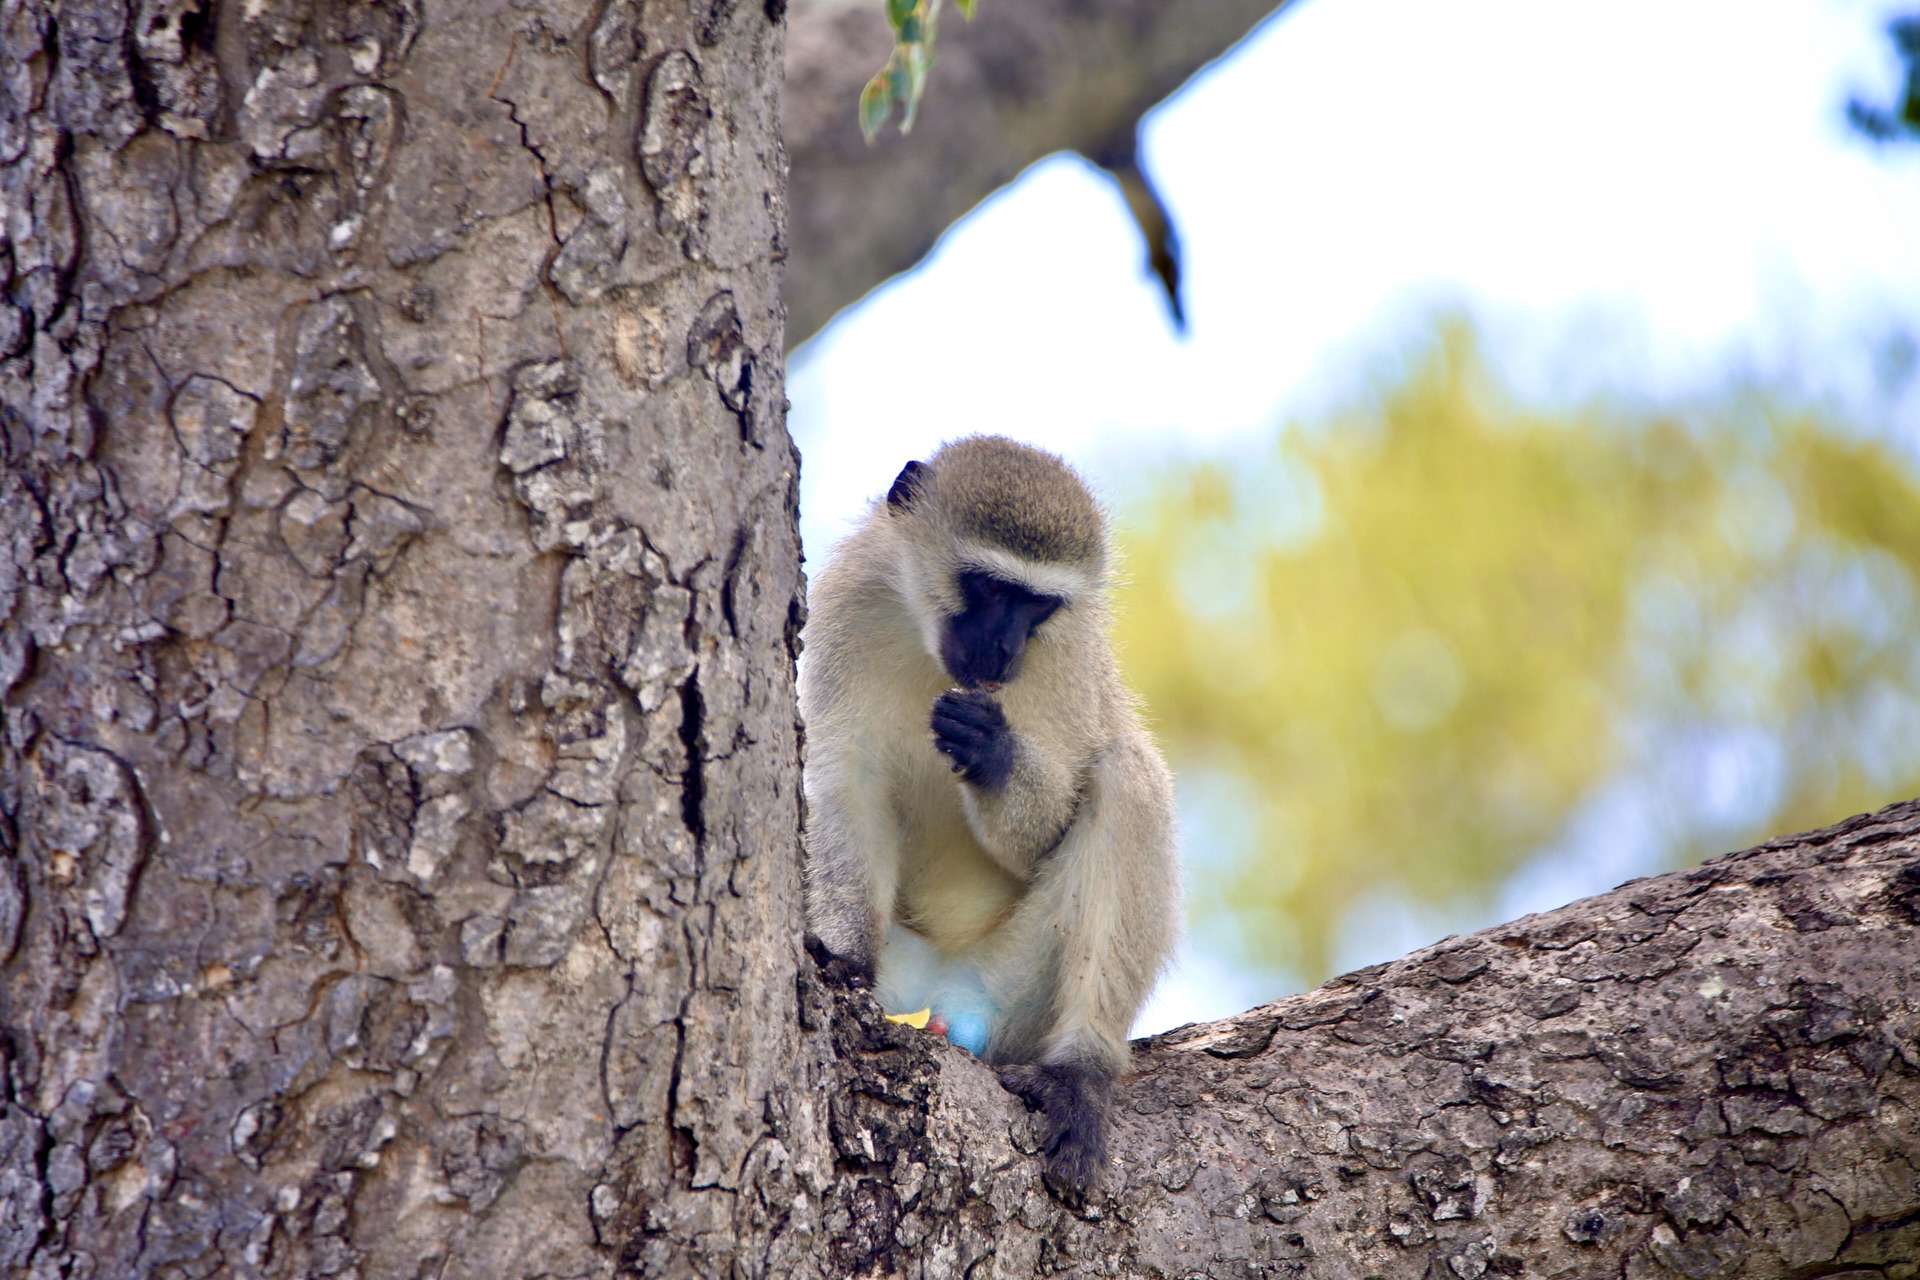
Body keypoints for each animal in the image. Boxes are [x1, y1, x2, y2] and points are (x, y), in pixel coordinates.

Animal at [798, 435, 1182, 1197]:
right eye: (992, 587)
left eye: (1038, 606)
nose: (1003, 651)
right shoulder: (853, 600)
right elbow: (846, 782)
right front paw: (845, 960)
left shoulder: (1067, 663)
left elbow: (1045, 833)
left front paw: (994, 753)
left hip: (1016, 989)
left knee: (1129, 778)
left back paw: (1081, 1073)